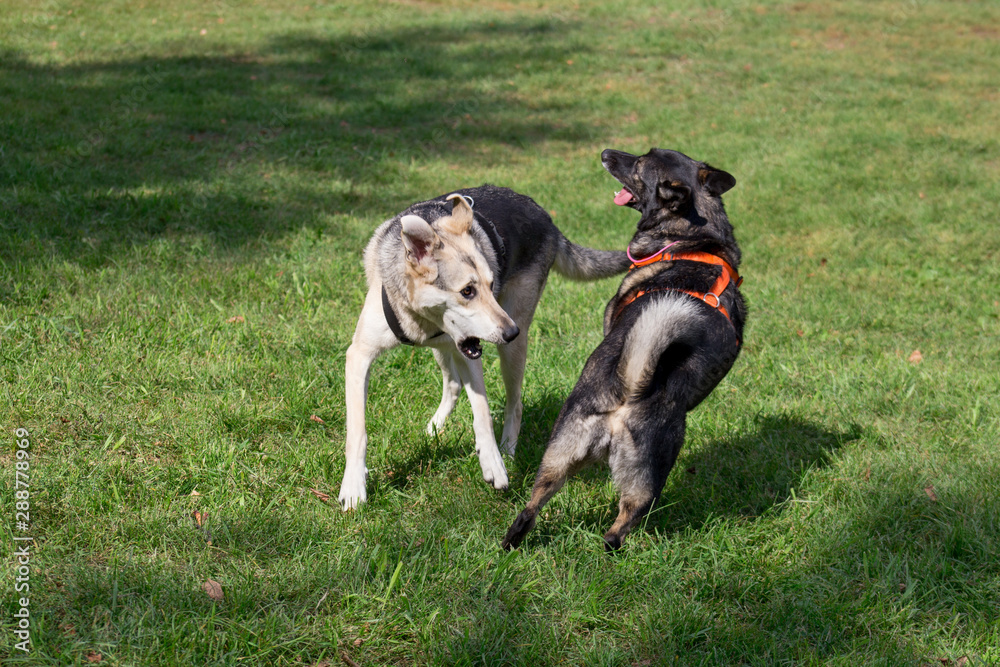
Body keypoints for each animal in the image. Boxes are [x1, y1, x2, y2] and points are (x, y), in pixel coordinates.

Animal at [504, 151, 748, 552]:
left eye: (639, 163)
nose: (606, 154)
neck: (692, 239)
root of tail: (630, 390)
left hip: (557, 458)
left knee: (532, 509)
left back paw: (513, 541)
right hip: (647, 477)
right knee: (616, 532)